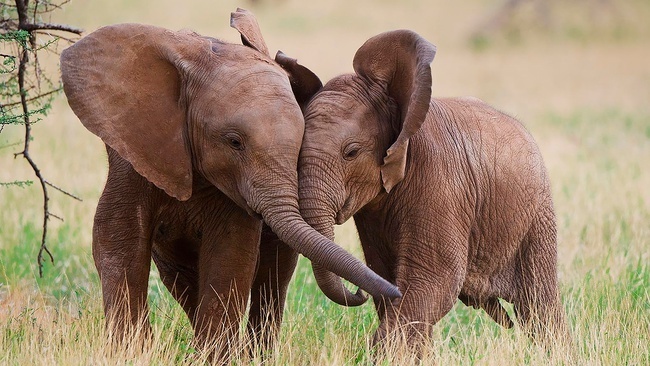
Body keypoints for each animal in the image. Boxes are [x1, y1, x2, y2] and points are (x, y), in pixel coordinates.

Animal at [60, 7, 398, 360]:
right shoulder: (133, 153)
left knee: (273, 274)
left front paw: (213, 358)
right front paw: (132, 354)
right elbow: (118, 235)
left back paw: (256, 354)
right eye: (234, 142)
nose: (364, 292)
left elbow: (231, 249)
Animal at [298, 29, 568, 348]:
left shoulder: (439, 185)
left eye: (350, 153)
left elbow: (433, 281)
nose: (357, 292)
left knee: (537, 302)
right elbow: (386, 277)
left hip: (536, 214)